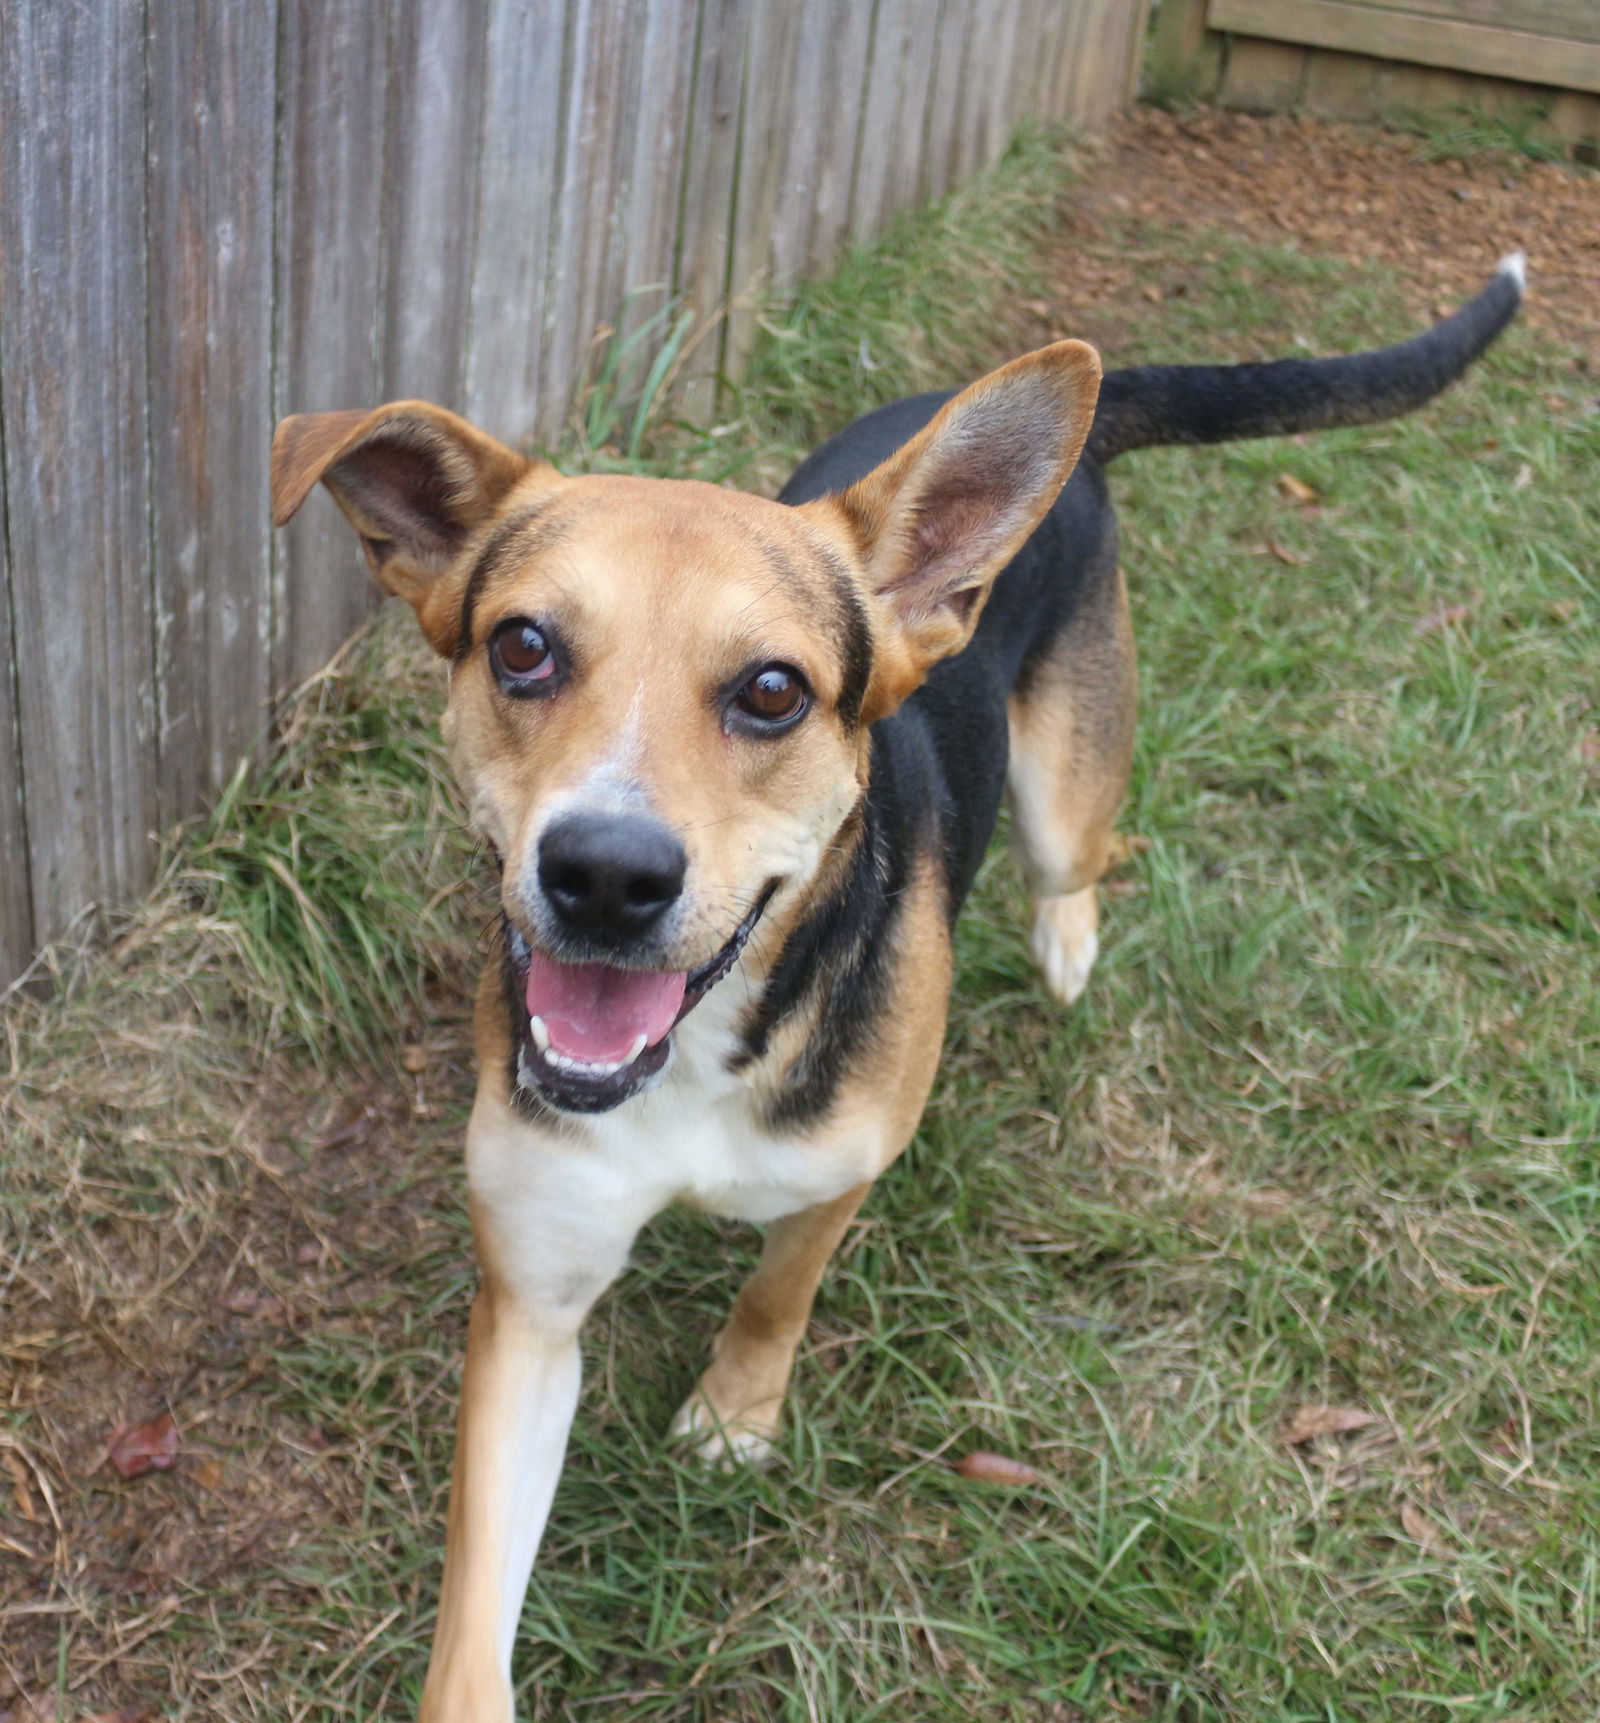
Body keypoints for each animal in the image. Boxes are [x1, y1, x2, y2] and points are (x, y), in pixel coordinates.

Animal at [272, 249, 1522, 1716]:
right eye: (522, 647)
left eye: (772, 690)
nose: (603, 874)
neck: (706, 1048)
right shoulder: (532, 1292)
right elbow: (475, 1619)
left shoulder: (841, 1171)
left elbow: (778, 1289)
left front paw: (735, 1413)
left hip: (1066, 791)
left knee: (1072, 858)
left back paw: (1066, 944)